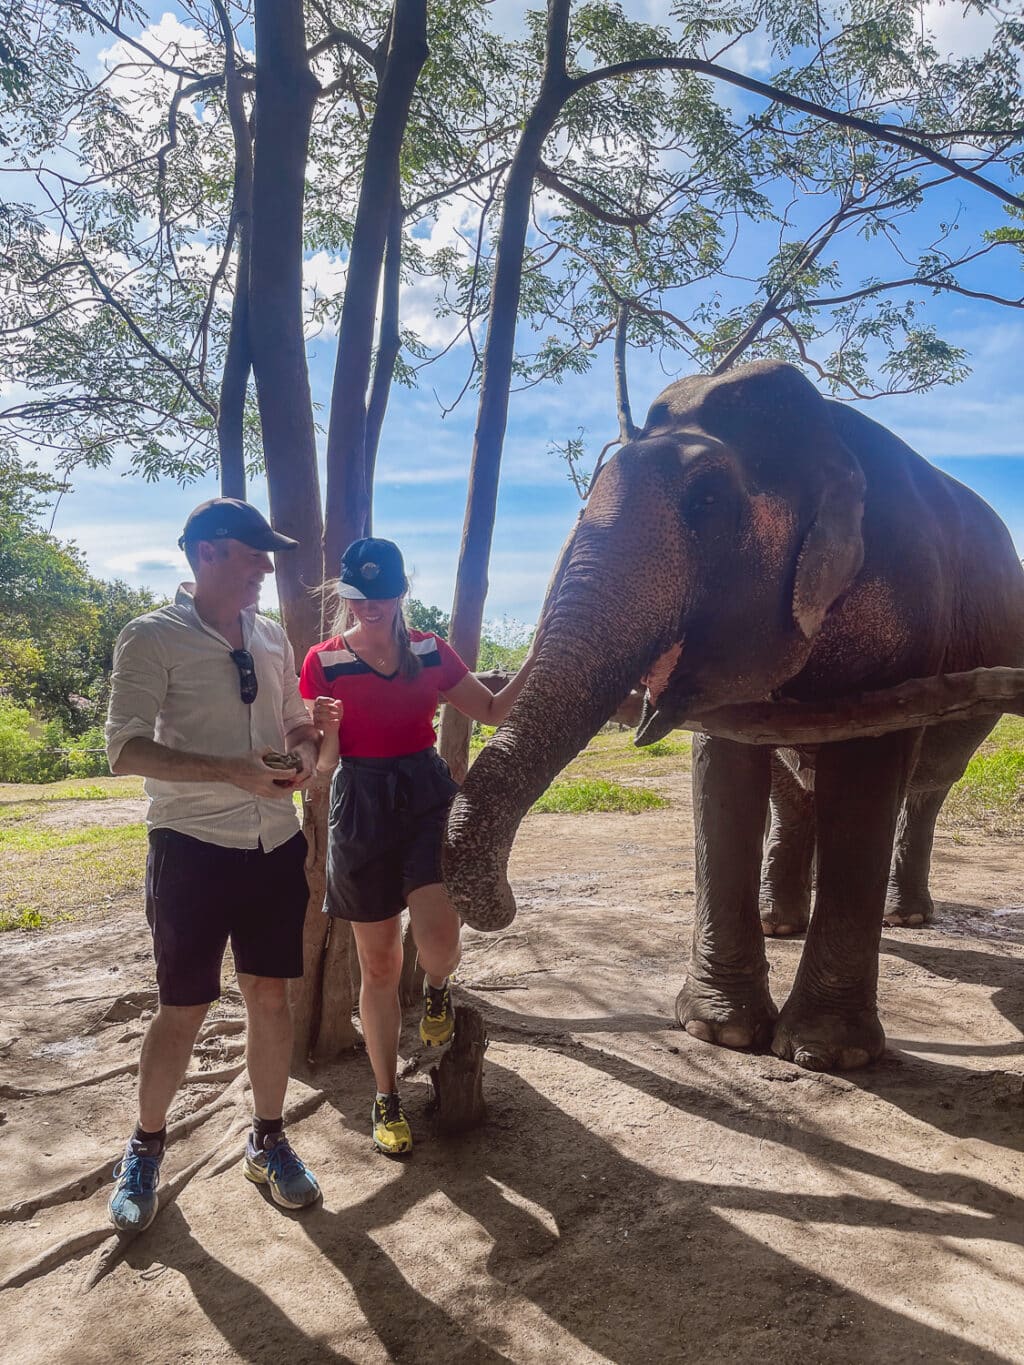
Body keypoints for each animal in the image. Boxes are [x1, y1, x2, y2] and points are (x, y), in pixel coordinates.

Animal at [445, 363, 1024, 1075]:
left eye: (707, 503)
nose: (506, 905)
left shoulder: (908, 619)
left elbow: (867, 776)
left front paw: (826, 1054)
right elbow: (723, 770)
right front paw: (719, 1033)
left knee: (929, 785)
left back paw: (905, 919)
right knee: (797, 786)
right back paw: (783, 924)